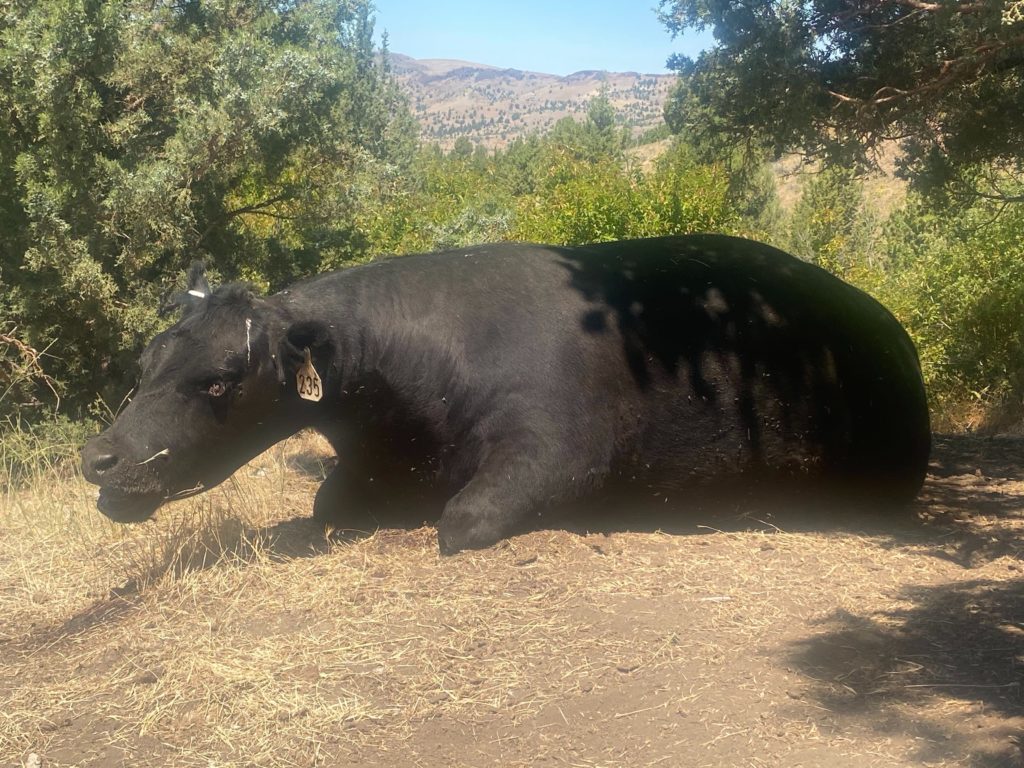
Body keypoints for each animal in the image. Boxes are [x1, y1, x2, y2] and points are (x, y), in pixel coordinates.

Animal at [77, 236, 929, 552]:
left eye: (219, 380)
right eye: (145, 362)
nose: (98, 458)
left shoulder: (557, 451)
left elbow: (463, 520)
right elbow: (326, 504)